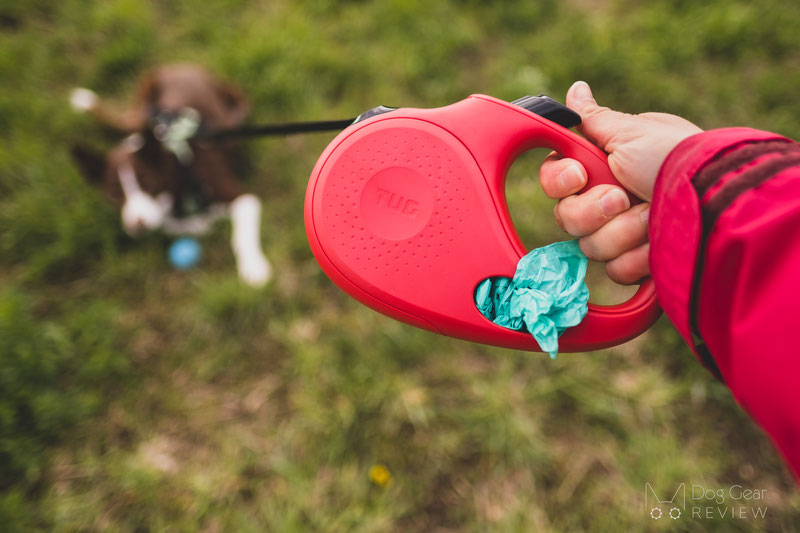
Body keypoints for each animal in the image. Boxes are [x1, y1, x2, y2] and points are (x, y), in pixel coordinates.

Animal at [69, 64, 268, 286]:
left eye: (147, 183)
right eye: (113, 195)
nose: (137, 225)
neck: (176, 163)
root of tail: (180, 66)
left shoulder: (240, 196)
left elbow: (243, 234)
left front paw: (254, 267)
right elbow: (168, 223)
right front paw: (200, 224)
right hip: (143, 98)